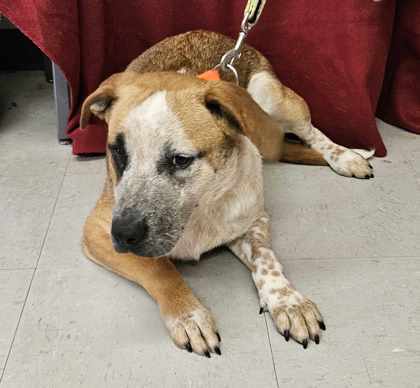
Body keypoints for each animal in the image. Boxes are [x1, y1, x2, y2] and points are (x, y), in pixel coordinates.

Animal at [79, 30, 374, 358]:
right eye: (117, 151)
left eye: (180, 160)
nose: (123, 234)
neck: (199, 208)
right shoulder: (96, 231)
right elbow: (159, 269)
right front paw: (189, 315)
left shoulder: (254, 221)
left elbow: (266, 259)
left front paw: (288, 300)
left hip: (273, 96)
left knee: (311, 131)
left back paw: (345, 157)